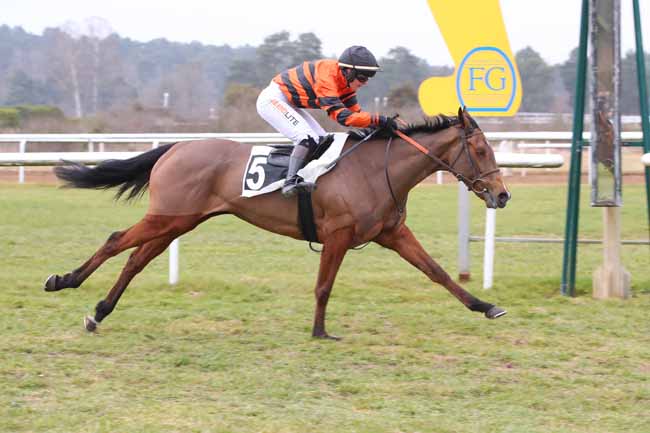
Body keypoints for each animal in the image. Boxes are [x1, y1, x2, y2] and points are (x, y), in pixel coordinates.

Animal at [45, 107, 512, 338]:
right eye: (482, 151)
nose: (502, 195)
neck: (375, 170)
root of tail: (175, 147)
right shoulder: (338, 234)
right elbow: (324, 285)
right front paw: (320, 332)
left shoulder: (391, 233)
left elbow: (437, 272)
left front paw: (486, 306)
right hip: (167, 216)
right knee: (115, 240)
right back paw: (63, 281)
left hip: (177, 223)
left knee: (135, 260)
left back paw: (99, 313)